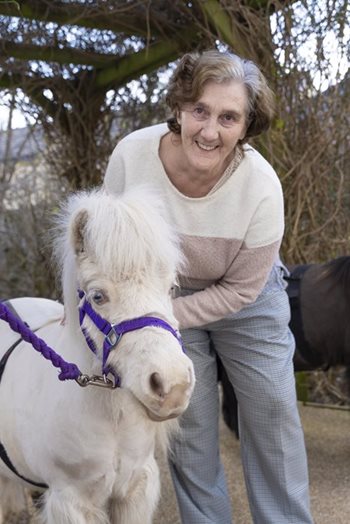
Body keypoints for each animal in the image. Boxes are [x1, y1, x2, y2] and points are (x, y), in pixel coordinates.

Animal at [0, 186, 194, 520]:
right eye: (98, 296)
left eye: (170, 288)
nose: (173, 386)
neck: (111, 420)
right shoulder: (71, 501)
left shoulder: (135, 489)